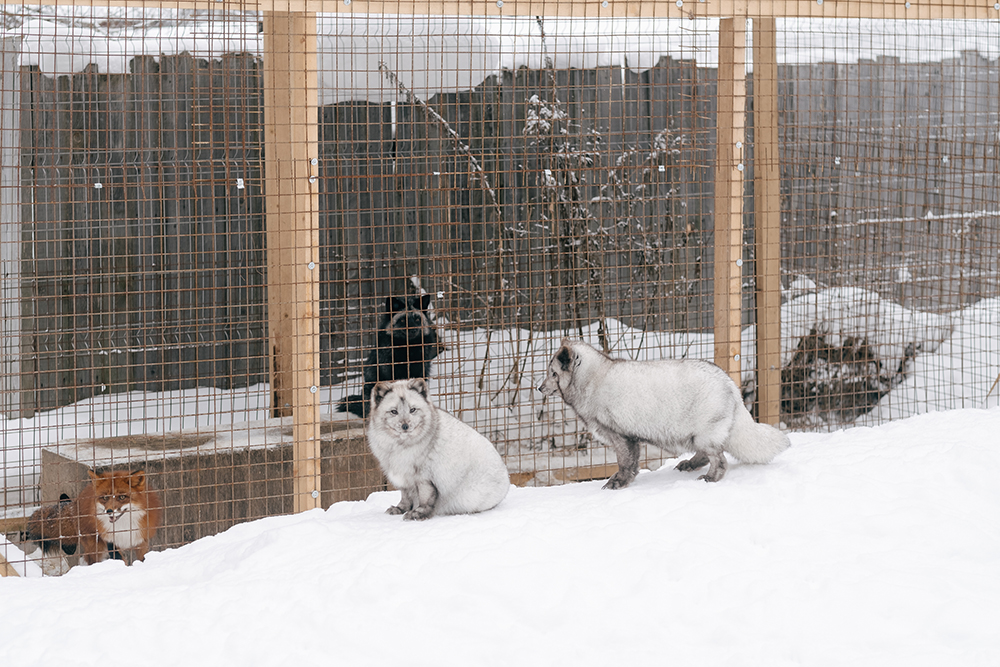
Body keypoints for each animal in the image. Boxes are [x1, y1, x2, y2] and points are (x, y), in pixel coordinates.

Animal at [25, 470, 163, 568]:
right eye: (105, 498)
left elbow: (142, 558)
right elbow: (120, 559)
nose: (109, 511)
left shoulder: (141, 539)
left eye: (122, 497)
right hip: (95, 546)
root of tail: (76, 502)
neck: (123, 527)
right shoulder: (110, 541)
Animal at [366, 378, 508, 520]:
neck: (400, 446)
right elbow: (405, 497)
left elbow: (425, 498)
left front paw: (418, 513)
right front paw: (400, 509)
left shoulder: (424, 477)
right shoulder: (404, 478)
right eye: (394, 412)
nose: (405, 426)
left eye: (413, 410)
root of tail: (506, 477)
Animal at [540, 340, 788, 490]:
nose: (539, 388)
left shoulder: (620, 435)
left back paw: (710, 478)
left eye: (552, 373)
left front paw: (618, 482)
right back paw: (689, 464)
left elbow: (625, 463)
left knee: (720, 459)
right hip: (697, 436)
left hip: (704, 434)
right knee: (707, 455)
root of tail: (730, 383)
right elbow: (631, 463)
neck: (593, 380)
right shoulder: (628, 437)